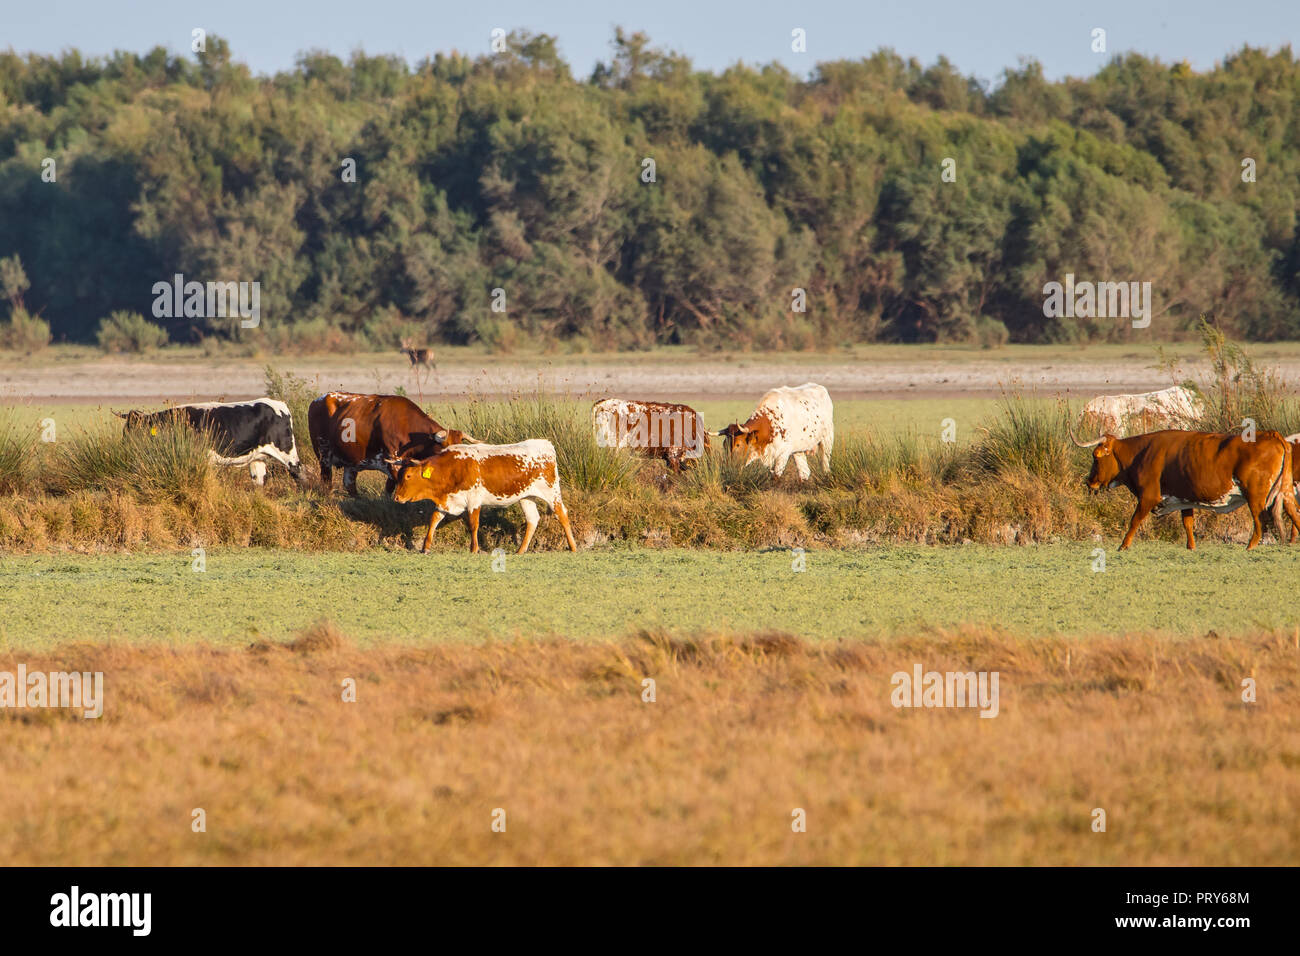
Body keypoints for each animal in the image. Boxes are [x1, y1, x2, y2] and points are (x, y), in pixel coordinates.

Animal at [115, 398, 305, 485]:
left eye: (132, 430)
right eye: (125, 430)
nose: (123, 446)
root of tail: (277, 403)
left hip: (288, 452)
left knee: (299, 473)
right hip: (257, 458)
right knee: (259, 481)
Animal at [307, 391, 476, 496]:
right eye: (445, 450)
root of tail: (318, 400)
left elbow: (389, 489)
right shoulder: (393, 462)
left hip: (351, 462)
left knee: (350, 485)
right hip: (323, 456)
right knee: (326, 482)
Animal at [388, 439, 578, 554]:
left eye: (408, 476)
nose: (396, 497)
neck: (451, 468)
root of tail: (544, 443)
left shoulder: (473, 500)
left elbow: (473, 524)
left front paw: (474, 549)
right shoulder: (448, 501)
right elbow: (434, 520)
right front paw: (425, 547)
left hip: (551, 492)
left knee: (562, 514)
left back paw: (573, 546)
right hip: (526, 497)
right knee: (532, 519)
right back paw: (520, 550)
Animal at [1071, 427, 1300, 550]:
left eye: (1096, 457)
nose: (1089, 481)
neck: (1140, 453)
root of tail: (1271, 434)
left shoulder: (1148, 497)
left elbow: (1134, 521)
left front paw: (1123, 546)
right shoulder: (1184, 499)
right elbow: (1188, 524)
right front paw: (1191, 547)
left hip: (1255, 496)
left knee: (1259, 522)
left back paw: (1250, 547)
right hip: (1286, 492)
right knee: (1293, 513)